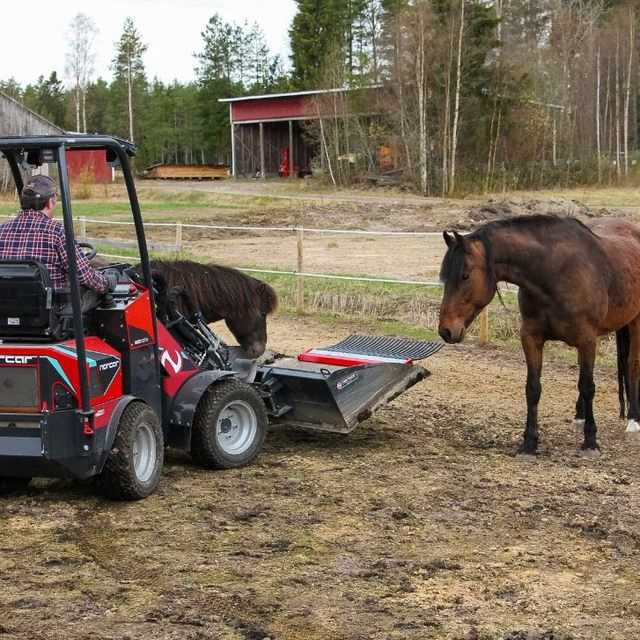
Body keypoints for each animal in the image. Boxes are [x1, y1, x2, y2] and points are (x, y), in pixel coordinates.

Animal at [438, 216, 640, 460]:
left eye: (465, 275)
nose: (446, 330)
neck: (554, 272)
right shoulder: (532, 337)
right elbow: (533, 389)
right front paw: (529, 443)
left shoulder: (587, 339)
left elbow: (588, 386)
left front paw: (591, 441)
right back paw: (580, 417)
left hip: (635, 322)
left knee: (632, 365)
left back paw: (634, 420)